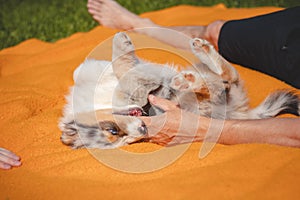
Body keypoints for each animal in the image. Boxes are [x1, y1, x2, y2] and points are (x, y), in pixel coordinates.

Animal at [59, 32, 300, 148]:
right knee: (223, 82)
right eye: (118, 136)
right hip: (204, 100)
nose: (142, 130)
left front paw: (121, 41)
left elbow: (118, 66)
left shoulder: (95, 71)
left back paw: (200, 51)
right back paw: (188, 80)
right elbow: (127, 77)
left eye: (112, 131)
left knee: (228, 76)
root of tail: (237, 113)